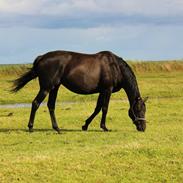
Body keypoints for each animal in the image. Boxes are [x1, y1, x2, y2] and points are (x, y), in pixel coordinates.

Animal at [11, 50, 147, 133]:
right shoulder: (107, 89)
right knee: (35, 103)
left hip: (55, 87)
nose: (143, 127)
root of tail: (41, 58)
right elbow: (104, 108)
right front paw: (104, 127)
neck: (115, 67)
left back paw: (57, 129)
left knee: (51, 106)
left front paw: (85, 125)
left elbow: (97, 108)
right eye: (138, 110)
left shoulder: (101, 91)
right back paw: (31, 128)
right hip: (46, 88)